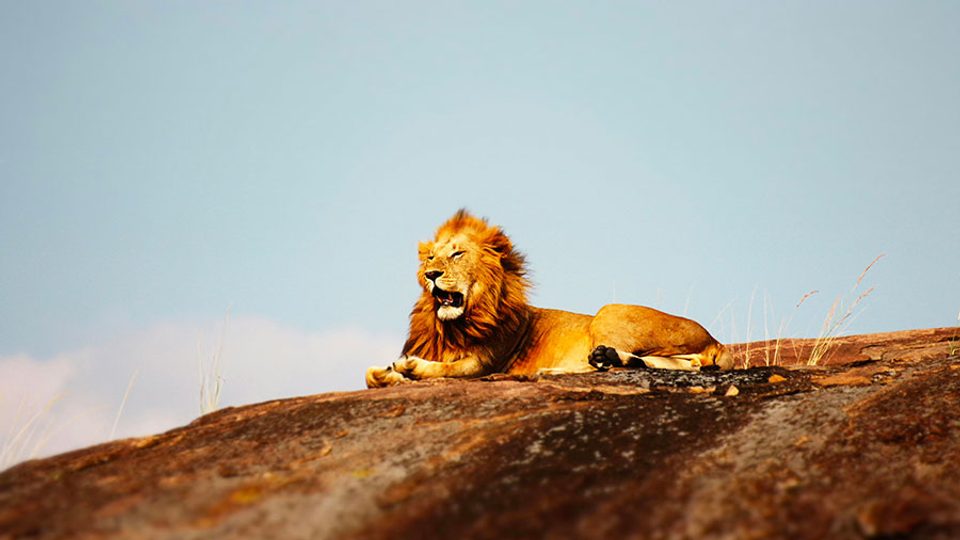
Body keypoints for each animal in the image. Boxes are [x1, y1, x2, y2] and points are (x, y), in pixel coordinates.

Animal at [366, 210, 733, 388]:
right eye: (430, 258)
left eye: (457, 254)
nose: (431, 274)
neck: (453, 326)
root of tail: (716, 340)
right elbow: (370, 375)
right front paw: (388, 374)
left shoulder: (485, 363)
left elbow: (445, 369)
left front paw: (409, 367)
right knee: (685, 364)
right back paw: (597, 360)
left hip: (608, 312)